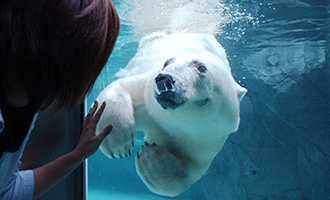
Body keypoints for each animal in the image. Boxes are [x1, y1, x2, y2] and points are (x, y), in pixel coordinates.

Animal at [95, 32, 248, 196]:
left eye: (201, 67)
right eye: (167, 62)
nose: (164, 79)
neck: (177, 123)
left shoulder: (205, 139)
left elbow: (190, 172)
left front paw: (150, 158)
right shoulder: (148, 96)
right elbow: (122, 87)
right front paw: (118, 144)